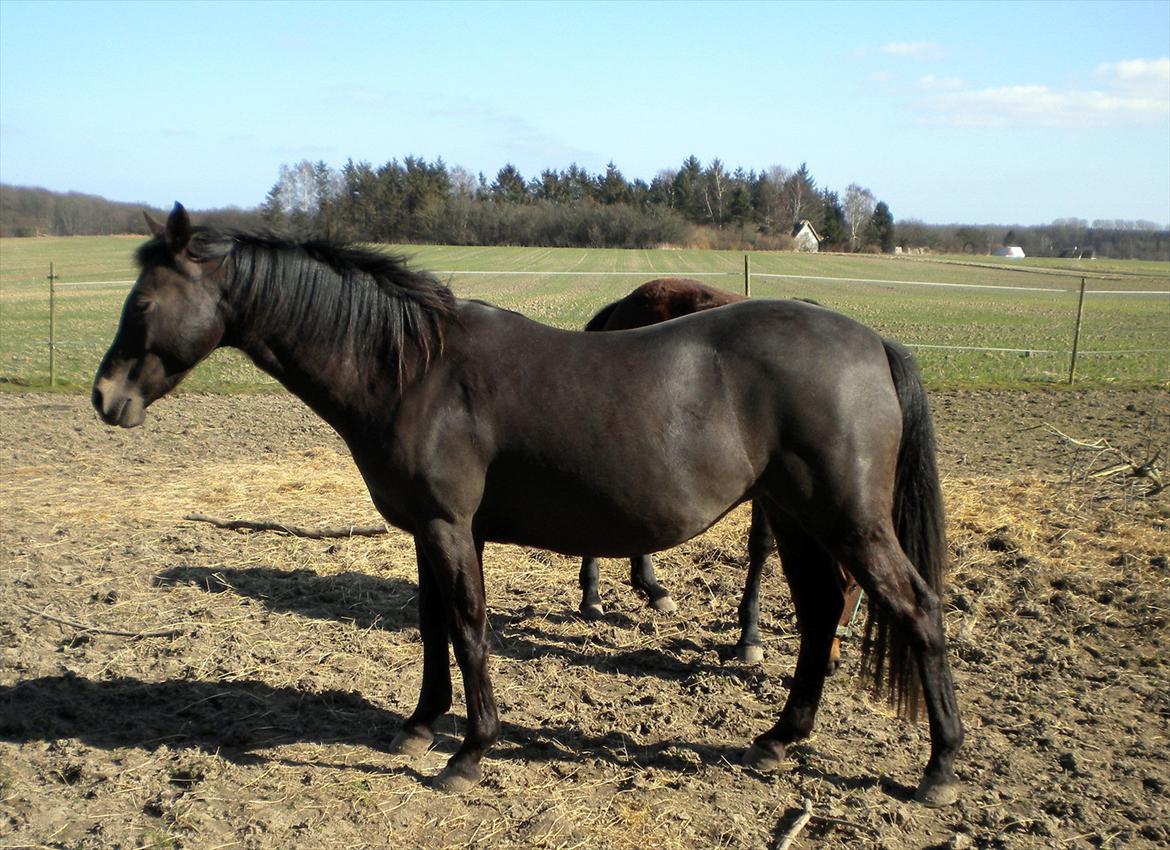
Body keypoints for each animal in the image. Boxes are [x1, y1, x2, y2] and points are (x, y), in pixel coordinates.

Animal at [577, 278, 865, 671]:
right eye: (847, 587)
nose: (832, 660)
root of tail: (624, 303)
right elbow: (761, 546)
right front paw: (750, 637)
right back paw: (592, 596)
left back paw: (653, 588)